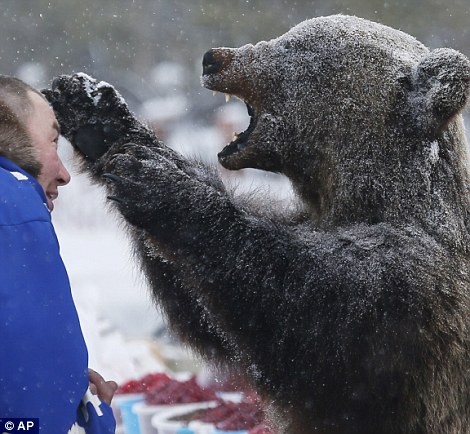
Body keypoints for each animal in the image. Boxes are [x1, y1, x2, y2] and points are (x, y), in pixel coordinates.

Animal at [44, 14, 470, 434]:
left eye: (297, 46)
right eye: (289, 35)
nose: (213, 58)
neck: (366, 199)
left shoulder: (408, 288)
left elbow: (302, 319)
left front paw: (158, 184)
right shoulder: (305, 219)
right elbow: (207, 318)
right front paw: (97, 117)